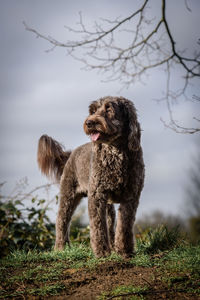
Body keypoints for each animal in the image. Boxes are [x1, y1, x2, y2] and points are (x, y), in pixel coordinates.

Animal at [37, 96, 144, 258]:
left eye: (109, 109)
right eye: (93, 111)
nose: (89, 123)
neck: (115, 151)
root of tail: (71, 154)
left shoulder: (131, 196)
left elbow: (124, 226)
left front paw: (124, 251)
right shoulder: (97, 195)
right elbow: (98, 226)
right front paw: (102, 252)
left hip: (107, 206)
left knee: (110, 224)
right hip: (68, 194)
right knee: (62, 220)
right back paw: (61, 247)